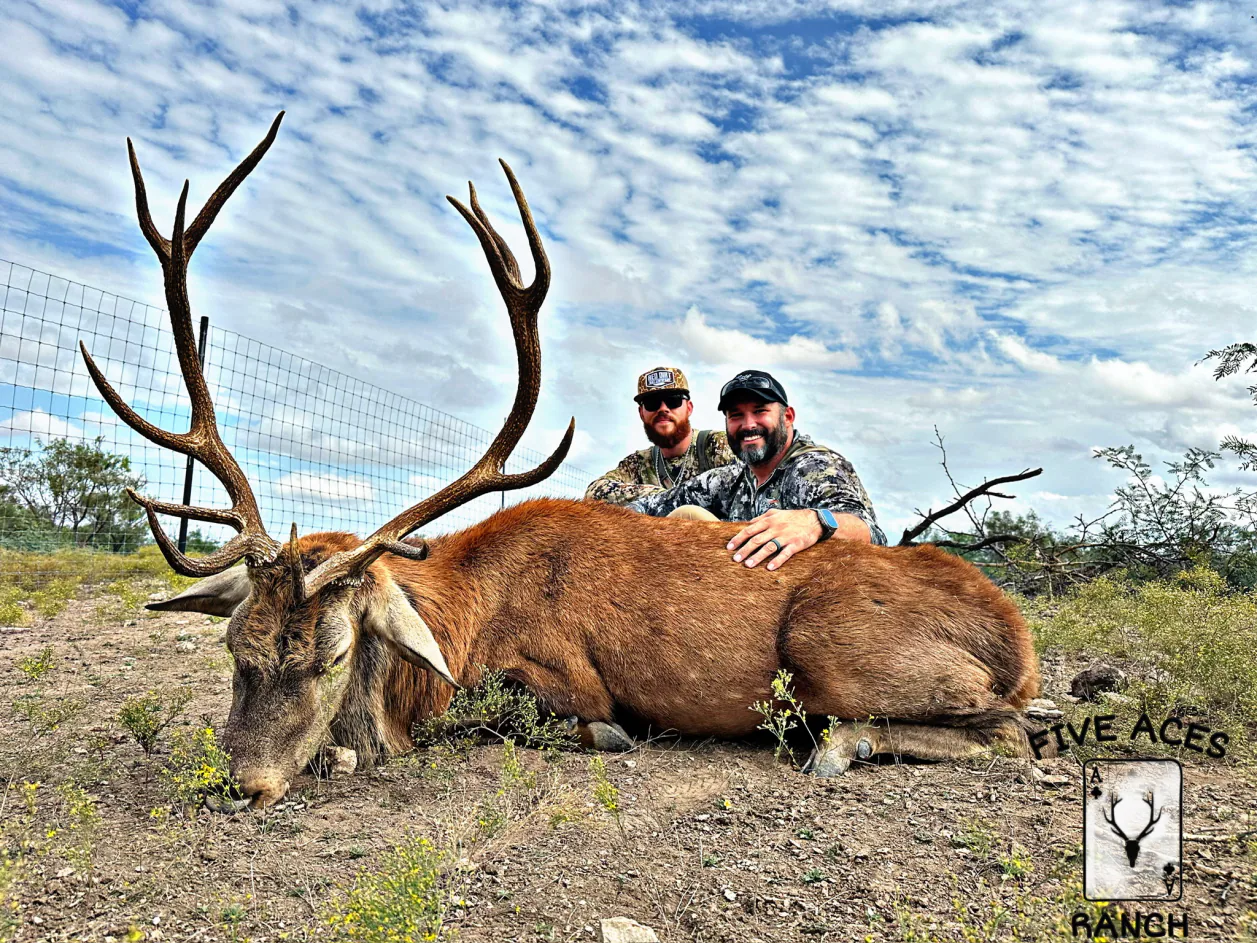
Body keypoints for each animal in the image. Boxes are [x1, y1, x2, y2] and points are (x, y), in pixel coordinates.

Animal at [86, 113, 1041, 809]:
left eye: (329, 654)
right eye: (235, 648)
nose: (240, 782)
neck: (460, 617)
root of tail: (1015, 633)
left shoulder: (563, 680)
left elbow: (559, 724)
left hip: (826, 650)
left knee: (1008, 731)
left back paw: (843, 743)